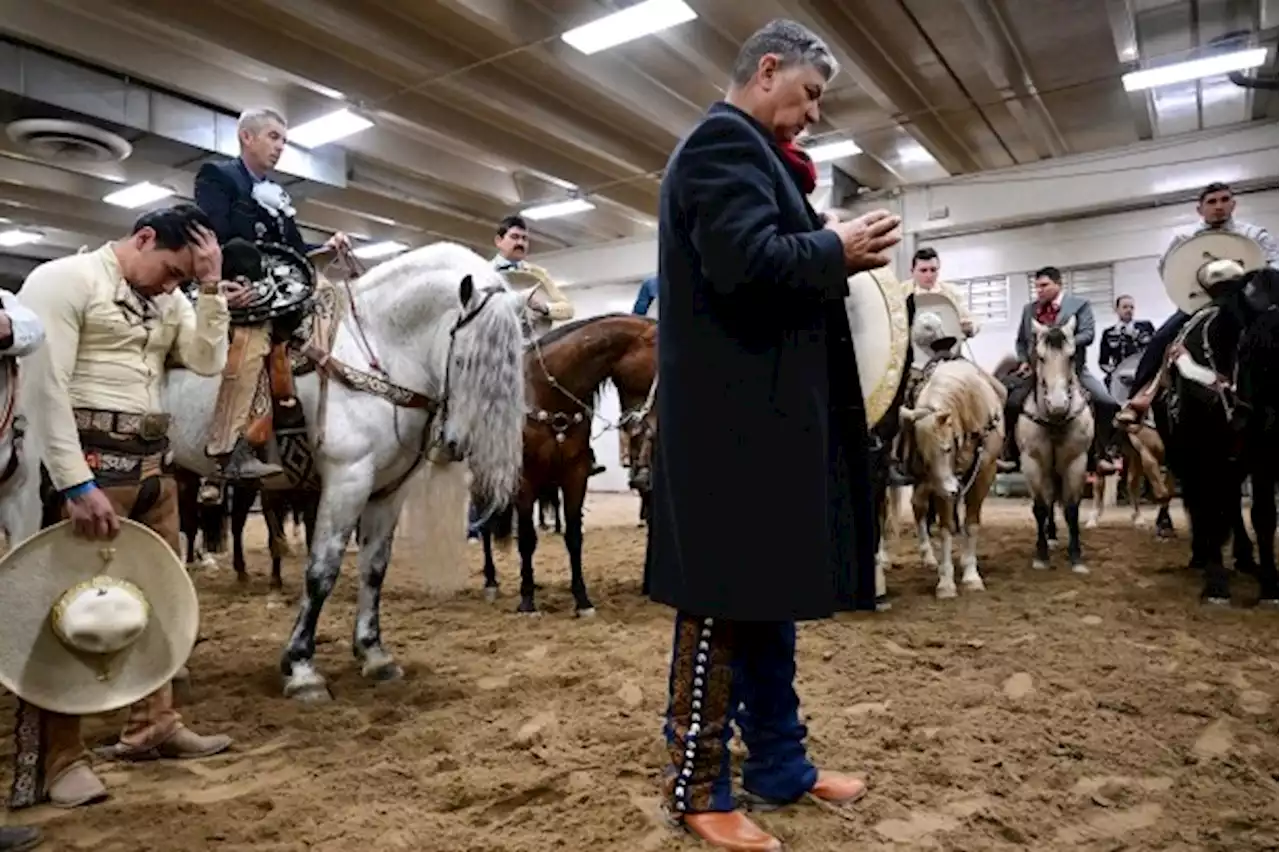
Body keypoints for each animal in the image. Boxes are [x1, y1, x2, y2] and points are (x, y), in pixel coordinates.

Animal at [165, 240, 524, 695]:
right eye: (464, 361)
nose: (457, 445)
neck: (379, 352)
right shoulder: (347, 480)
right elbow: (322, 569)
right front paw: (301, 667)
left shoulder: (387, 491)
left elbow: (374, 568)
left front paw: (374, 653)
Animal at [481, 310, 660, 611]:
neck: (548, 395)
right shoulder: (525, 479)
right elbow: (527, 539)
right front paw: (527, 600)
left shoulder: (574, 475)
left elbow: (574, 536)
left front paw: (582, 599)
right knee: (483, 526)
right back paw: (491, 582)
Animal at [901, 355, 1008, 593]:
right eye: (923, 455)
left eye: (947, 448)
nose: (951, 490)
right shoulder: (940, 484)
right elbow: (946, 527)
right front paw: (946, 582)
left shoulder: (983, 474)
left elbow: (971, 523)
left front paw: (971, 576)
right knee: (918, 506)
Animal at [1013, 317, 1095, 570]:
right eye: (1040, 357)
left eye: (1071, 356)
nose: (1058, 405)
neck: (1054, 422)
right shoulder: (1032, 463)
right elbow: (1040, 508)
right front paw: (1041, 556)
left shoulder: (1076, 462)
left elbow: (1071, 509)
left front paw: (1076, 556)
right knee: (1048, 502)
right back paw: (1049, 538)